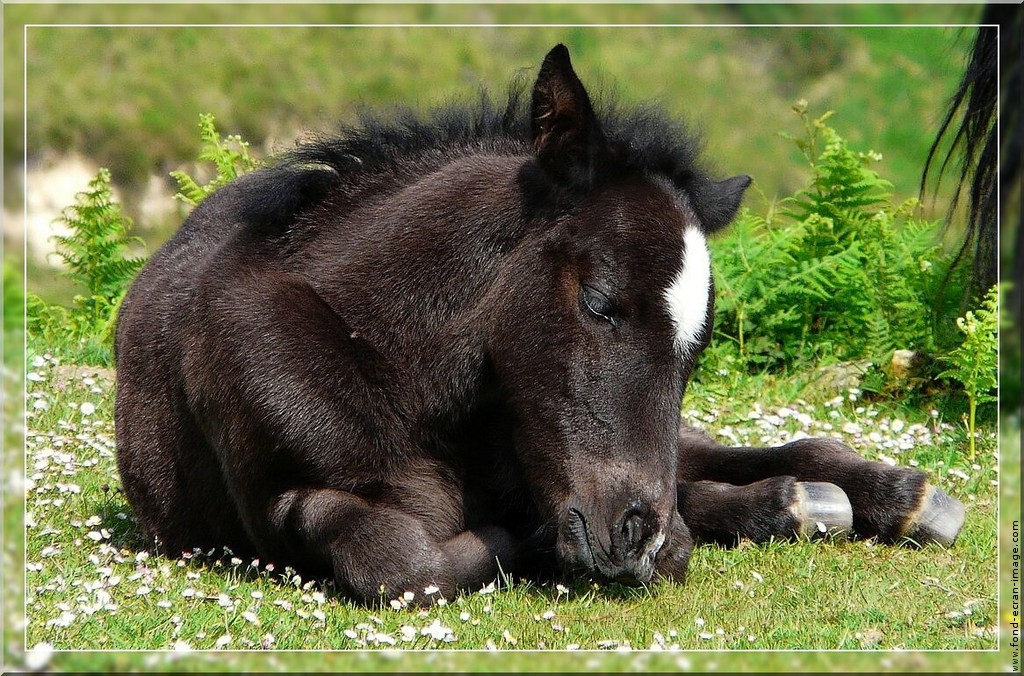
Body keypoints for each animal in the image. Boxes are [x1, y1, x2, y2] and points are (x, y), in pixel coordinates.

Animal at [114, 44, 966, 605]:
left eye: (697, 349)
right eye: (600, 301)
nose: (631, 533)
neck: (375, 355)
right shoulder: (282, 504)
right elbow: (405, 564)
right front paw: (524, 540)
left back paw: (887, 494)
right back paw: (797, 504)